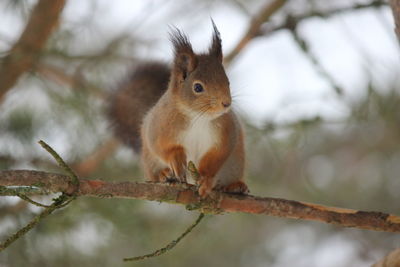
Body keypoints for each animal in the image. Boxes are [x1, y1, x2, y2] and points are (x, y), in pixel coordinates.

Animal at [109, 22, 247, 199]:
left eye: (228, 82)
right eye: (197, 87)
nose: (226, 103)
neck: (198, 117)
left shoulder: (227, 131)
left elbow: (216, 156)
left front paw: (206, 180)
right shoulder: (159, 127)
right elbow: (162, 147)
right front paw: (176, 159)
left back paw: (235, 186)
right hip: (150, 161)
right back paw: (164, 174)